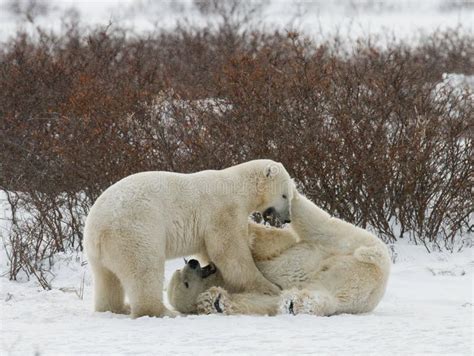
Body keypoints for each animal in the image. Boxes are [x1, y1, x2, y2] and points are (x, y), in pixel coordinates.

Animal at [83, 159, 294, 318]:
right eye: (285, 195)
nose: (287, 219)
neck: (238, 185)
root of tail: (97, 229)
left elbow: (209, 251)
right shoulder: (222, 210)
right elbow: (230, 253)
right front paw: (271, 287)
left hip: (99, 251)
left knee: (107, 278)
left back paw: (118, 307)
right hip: (135, 231)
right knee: (144, 270)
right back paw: (163, 311)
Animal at [168, 188, 390, 316]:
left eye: (182, 275)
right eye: (185, 283)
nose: (192, 263)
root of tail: (379, 267)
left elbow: (271, 243)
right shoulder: (253, 290)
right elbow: (264, 302)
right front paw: (215, 301)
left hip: (346, 243)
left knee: (321, 226)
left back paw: (292, 192)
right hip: (348, 292)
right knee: (324, 296)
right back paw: (293, 303)